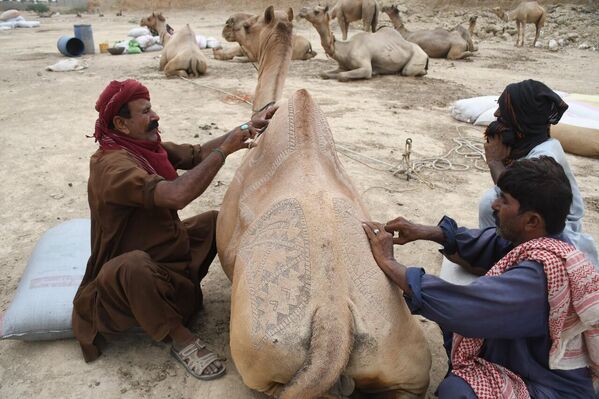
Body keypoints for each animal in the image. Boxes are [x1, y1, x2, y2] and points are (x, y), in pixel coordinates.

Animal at [298, 4, 428, 82]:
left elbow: (342, 76)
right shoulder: (342, 66)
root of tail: (425, 54)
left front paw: (374, 73)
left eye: (316, 11)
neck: (346, 48)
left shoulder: (365, 67)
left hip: (417, 57)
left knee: (408, 71)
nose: (301, 10)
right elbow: (323, 73)